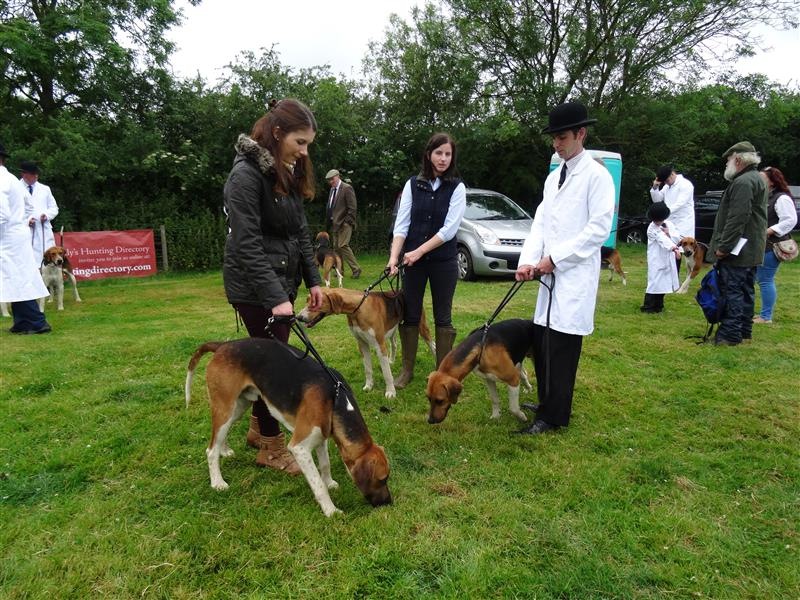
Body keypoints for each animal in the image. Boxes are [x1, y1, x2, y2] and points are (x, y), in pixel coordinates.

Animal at [185, 337, 392, 517]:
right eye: (382, 479)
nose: (388, 503)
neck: (335, 399)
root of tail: (223, 345)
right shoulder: (299, 447)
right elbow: (318, 484)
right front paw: (331, 510)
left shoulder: (321, 435)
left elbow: (325, 464)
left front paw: (330, 482)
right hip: (225, 406)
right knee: (211, 450)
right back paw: (217, 482)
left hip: (238, 406)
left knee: (220, 435)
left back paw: (225, 451)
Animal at [297, 287, 435, 399]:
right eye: (307, 300)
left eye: (314, 302)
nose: (298, 317)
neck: (358, 308)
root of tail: (400, 290)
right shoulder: (362, 344)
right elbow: (368, 369)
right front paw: (369, 386)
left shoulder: (380, 345)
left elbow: (387, 373)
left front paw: (391, 392)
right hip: (393, 330)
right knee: (394, 344)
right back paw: (391, 360)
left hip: (422, 328)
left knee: (432, 345)